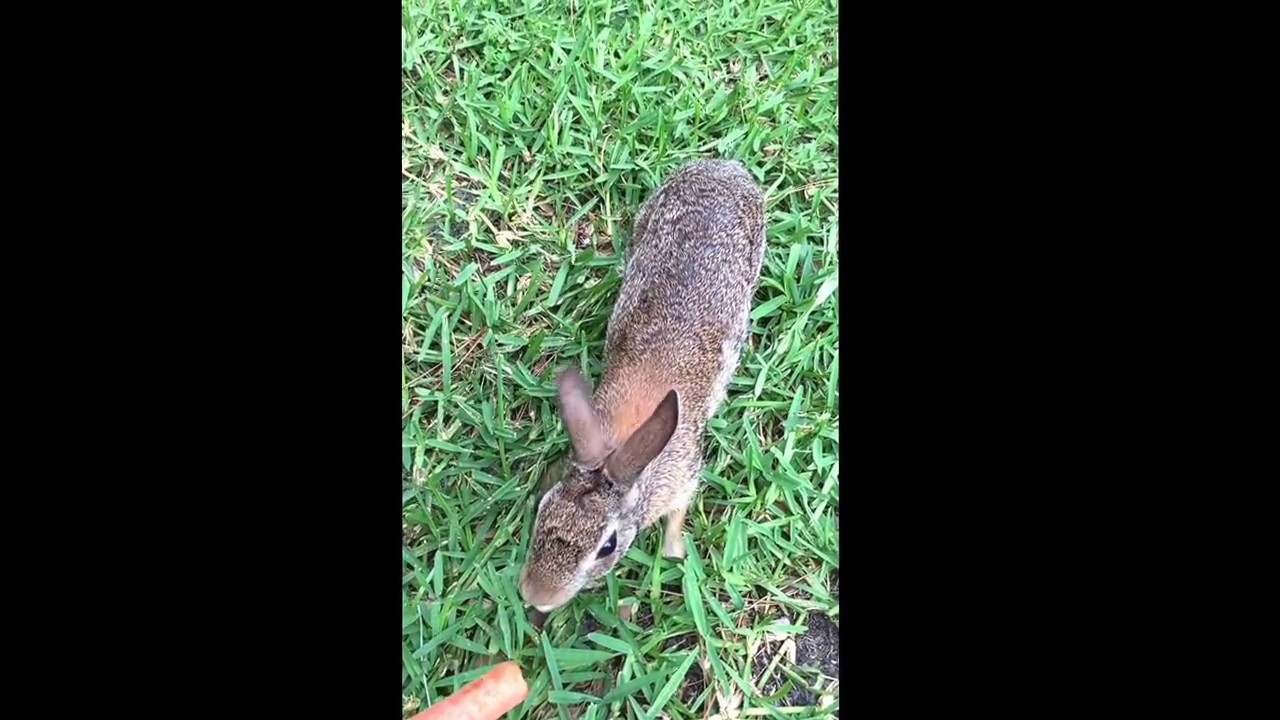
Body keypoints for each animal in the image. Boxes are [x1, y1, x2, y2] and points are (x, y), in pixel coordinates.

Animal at [518, 159, 767, 614]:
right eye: (543, 510)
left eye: (607, 546)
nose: (537, 598)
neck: (621, 451)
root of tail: (725, 168)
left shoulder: (683, 475)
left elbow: (678, 512)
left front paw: (674, 552)